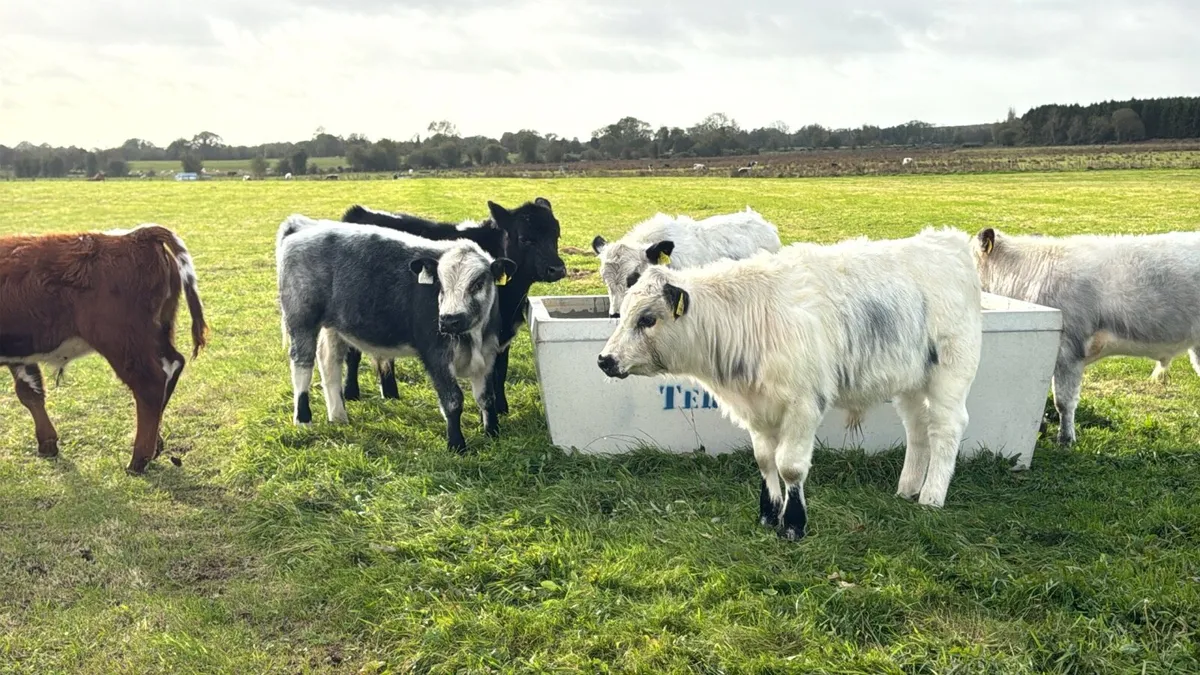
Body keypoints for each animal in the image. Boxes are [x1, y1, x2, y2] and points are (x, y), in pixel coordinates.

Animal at [0, 225, 208, 473]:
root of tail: (137, 235)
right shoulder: (20, 352)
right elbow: (30, 392)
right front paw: (47, 443)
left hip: (121, 342)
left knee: (150, 385)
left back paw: (138, 459)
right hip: (154, 334)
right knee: (172, 366)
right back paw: (155, 445)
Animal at [275, 215, 516, 452]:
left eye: (477, 283)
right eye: (440, 284)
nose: (449, 320)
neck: (472, 338)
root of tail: (306, 226)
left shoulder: (487, 355)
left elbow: (486, 398)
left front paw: (492, 433)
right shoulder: (436, 356)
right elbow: (453, 401)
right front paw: (457, 445)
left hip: (333, 327)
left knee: (329, 363)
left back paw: (338, 416)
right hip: (301, 320)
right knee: (302, 365)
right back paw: (303, 419)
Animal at [339, 199, 566, 414]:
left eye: (556, 235)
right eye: (525, 238)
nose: (557, 269)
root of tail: (357, 212)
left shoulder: (503, 336)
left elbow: (500, 370)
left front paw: (502, 408)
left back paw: (390, 393)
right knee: (352, 353)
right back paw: (351, 393)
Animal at [597, 228, 983, 540]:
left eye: (648, 319)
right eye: (624, 312)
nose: (605, 360)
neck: (747, 317)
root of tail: (949, 241)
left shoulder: (803, 405)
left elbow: (789, 465)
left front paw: (794, 523)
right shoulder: (757, 409)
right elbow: (765, 460)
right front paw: (769, 514)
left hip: (951, 374)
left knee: (945, 428)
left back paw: (931, 496)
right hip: (910, 383)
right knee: (918, 430)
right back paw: (907, 489)